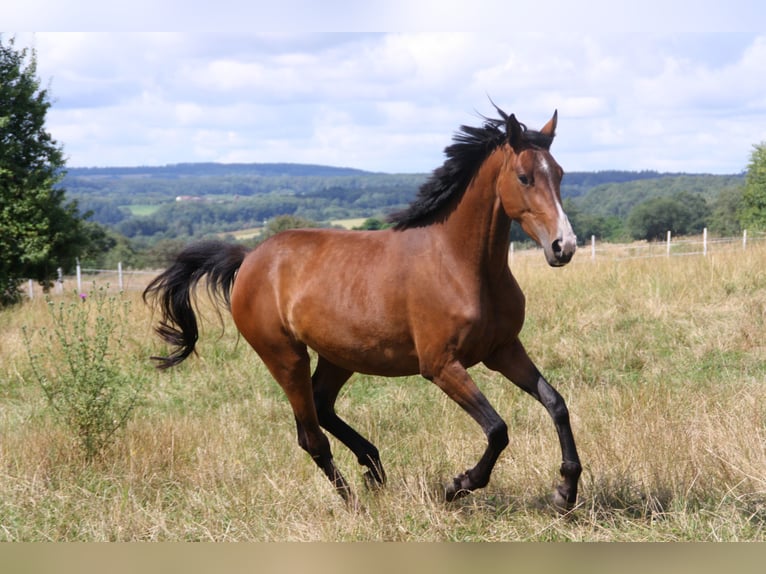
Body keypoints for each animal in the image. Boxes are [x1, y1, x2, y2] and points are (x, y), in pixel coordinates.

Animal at [144, 104, 584, 512]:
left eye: (561, 174)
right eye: (524, 177)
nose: (563, 247)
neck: (459, 264)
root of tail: (249, 258)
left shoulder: (503, 350)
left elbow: (556, 404)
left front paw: (565, 492)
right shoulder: (441, 366)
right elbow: (497, 429)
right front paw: (457, 485)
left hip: (340, 355)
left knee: (322, 406)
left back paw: (373, 466)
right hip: (285, 357)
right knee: (311, 436)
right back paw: (355, 502)